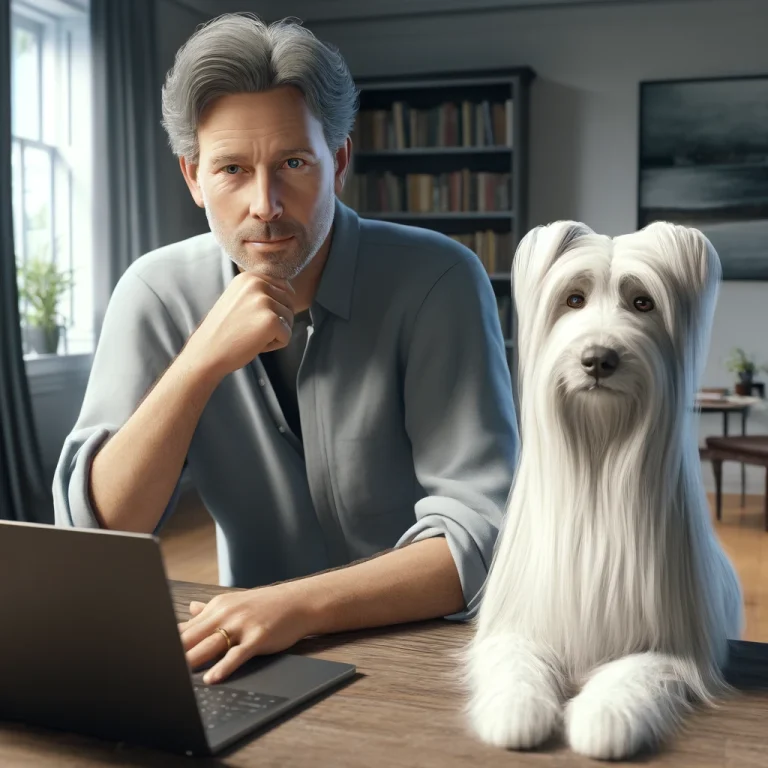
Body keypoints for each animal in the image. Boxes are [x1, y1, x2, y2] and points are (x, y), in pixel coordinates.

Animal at [462, 219, 744, 760]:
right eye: (573, 300)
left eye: (643, 303)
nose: (598, 359)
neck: (599, 447)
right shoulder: (521, 621)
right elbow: (516, 659)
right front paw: (516, 711)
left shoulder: (670, 642)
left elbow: (636, 670)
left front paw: (605, 718)